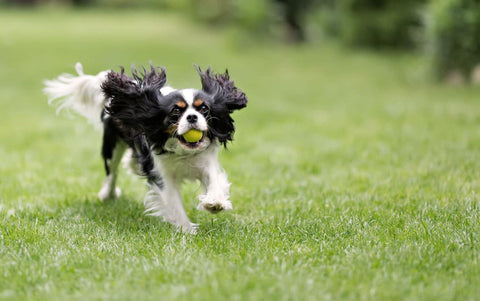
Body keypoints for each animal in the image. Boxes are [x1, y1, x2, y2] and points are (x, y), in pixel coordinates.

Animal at [44, 62, 248, 232]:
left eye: (204, 109)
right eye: (175, 111)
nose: (192, 117)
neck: (183, 152)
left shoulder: (206, 161)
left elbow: (214, 180)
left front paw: (214, 203)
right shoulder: (161, 175)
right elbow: (174, 203)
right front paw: (187, 230)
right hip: (112, 148)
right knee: (112, 173)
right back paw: (108, 194)